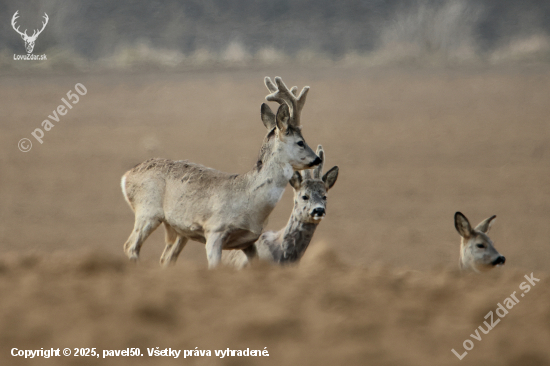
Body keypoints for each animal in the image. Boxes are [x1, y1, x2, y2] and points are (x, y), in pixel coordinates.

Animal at [119, 76, 320, 268]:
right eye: (300, 142)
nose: (317, 159)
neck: (249, 201)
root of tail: (126, 176)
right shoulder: (214, 231)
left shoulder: (248, 242)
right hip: (147, 211)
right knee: (130, 246)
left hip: (177, 229)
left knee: (166, 258)